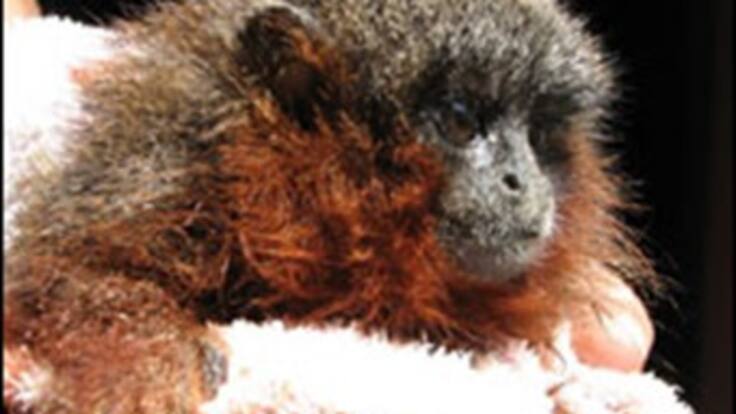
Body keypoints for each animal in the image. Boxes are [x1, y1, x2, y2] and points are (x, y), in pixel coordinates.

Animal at [3, 0, 656, 412]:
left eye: (539, 136)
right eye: (460, 119)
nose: (522, 179)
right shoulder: (169, 160)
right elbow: (52, 276)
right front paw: (149, 364)